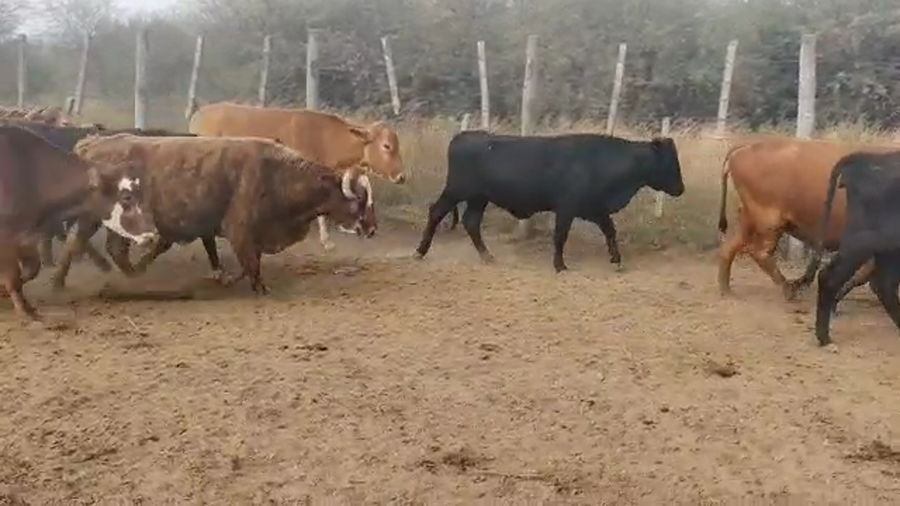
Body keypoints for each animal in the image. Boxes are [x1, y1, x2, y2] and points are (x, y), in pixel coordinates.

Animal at [0, 126, 157, 320]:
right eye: (126, 197)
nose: (151, 236)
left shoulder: (27, 239)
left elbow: (31, 270)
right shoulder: (6, 239)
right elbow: (13, 275)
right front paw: (26, 310)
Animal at [52, 133, 377, 294]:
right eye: (360, 201)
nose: (372, 229)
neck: (276, 173)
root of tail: (91, 144)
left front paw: (226, 277)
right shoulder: (240, 228)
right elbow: (250, 262)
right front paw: (256, 286)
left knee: (96, 246)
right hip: (95, 219)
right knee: (90, 245)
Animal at [414, 130, 685, 272]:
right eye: (670, 161)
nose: (681, 189)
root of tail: (464, 135)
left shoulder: (595, 208)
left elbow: (610, 230)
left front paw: (616, 260)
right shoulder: (567, 208)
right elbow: (560, 236)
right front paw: (560, 265)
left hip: (478, 198)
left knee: (471, 222)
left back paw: (487, 256)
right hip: (457, 191)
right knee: (436, 212)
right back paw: (420, 252)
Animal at [716, 138, 900, 301]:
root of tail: (746, 147)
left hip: (750, 220)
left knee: (729, 248)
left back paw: (727, 290)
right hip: (769, 221)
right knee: (760, 252)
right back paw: (789, 289)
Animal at [788, 150, 900, 348]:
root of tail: (867, 157)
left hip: (887, 249)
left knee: (884, 284)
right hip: (863, 241)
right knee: (830, 276)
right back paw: (824, 337)